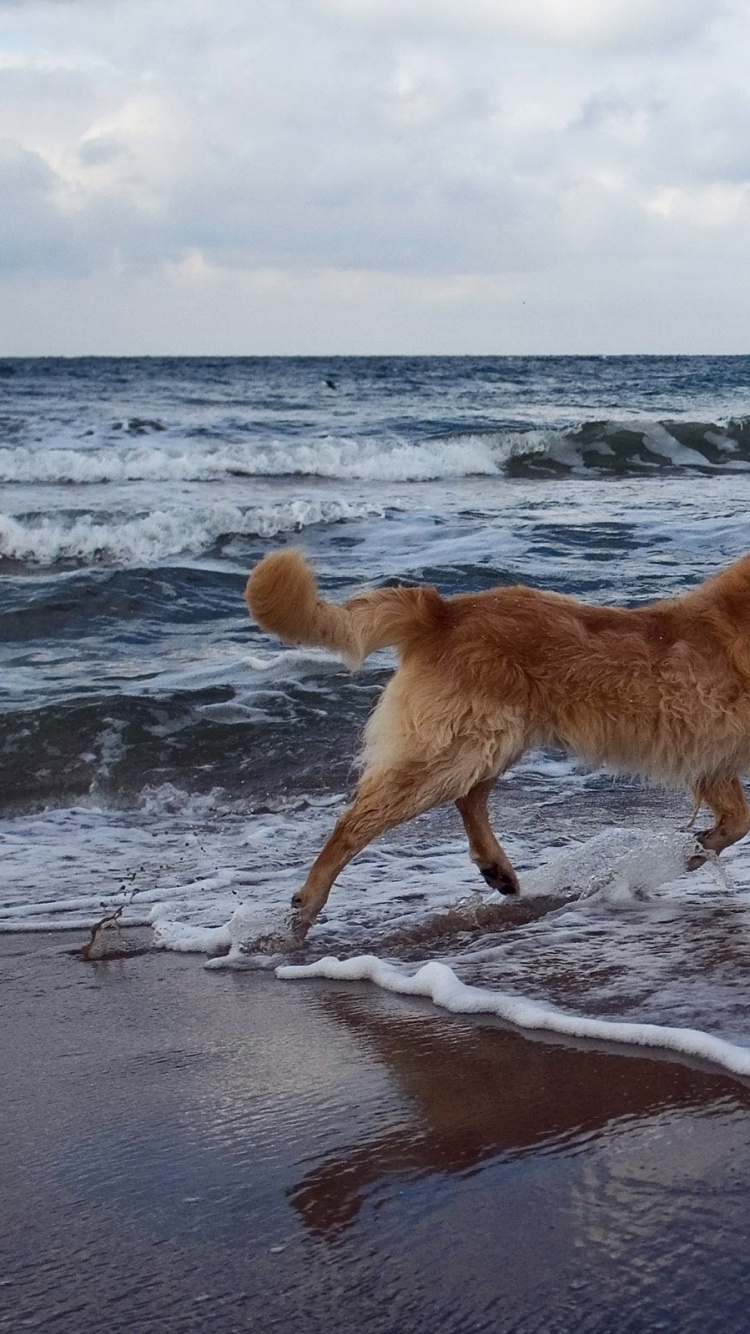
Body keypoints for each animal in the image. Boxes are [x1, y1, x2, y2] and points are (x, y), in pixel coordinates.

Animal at [245, 546, 747, 933]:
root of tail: (442, 611)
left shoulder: (715, 755)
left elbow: (736, 822)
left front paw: (696, 849)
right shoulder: (716, 752)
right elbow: (736, 823)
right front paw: (692, 852)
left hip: (489, 741)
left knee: (470, 798)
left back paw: (497, 869)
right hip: (455, 749)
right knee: (356, 821)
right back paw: (306, 904)